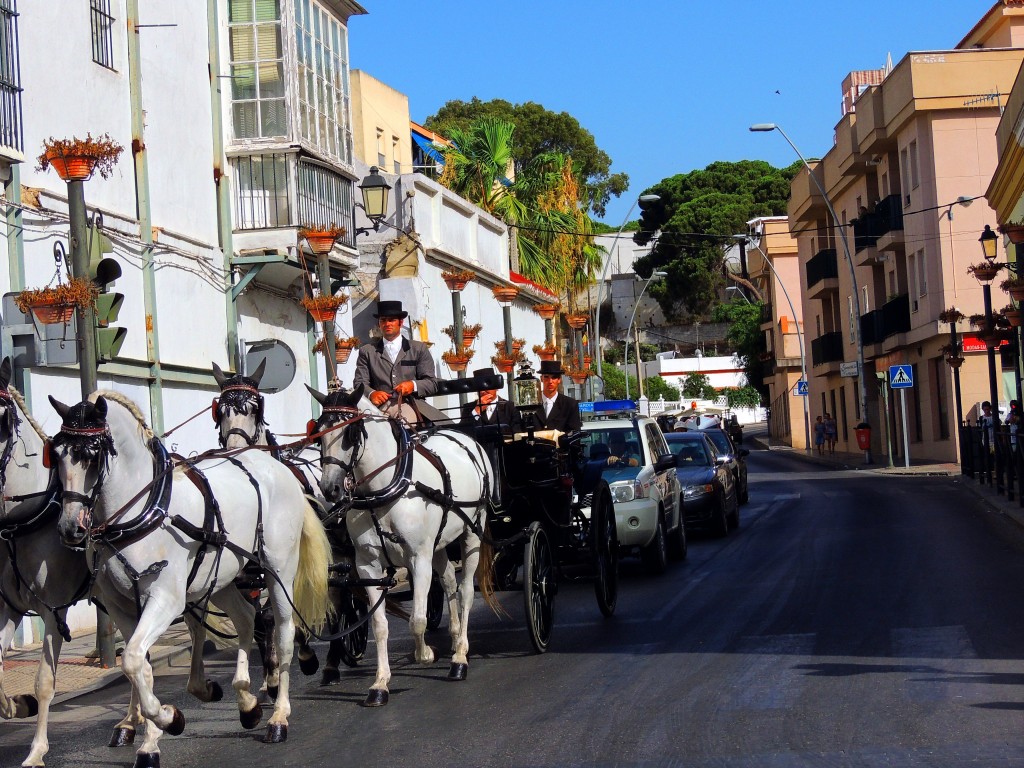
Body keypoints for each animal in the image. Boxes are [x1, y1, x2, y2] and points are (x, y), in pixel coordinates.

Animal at [48, 393, 331, 765]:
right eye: (56, 455)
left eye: (92, 456)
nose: (70, 528)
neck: (141, 511)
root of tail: (278, 467)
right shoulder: (120, 605)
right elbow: (139, 665)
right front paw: (151, 738)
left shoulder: (166, 599)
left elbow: (135, 659)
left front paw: (169, 718)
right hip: (222, 575)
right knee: (246, 617)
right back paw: (247, 703)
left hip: (278, 569)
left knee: (283, 631)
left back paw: (279, 715)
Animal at [305, 385, 493, 708]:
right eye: (318, 435)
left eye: (350, 433)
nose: (330, 489)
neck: (385, 489)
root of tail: (465, 438)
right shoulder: (367, 566)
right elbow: (380, 625)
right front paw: (380, 684)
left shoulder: (418, 559)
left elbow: (417, 619)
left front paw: (426, 654)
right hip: (439, 543)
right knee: (448, 581)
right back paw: (456, 636)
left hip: (472, 533)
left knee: (466, 590)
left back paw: (460, 657)